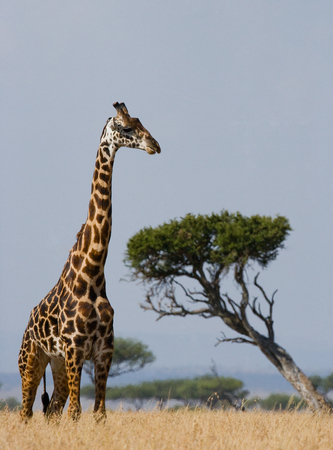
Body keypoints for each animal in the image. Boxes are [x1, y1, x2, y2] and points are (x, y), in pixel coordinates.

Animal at [18, 101, 161, 418]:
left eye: (141, 122)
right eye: (126, 128)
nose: (155, 145)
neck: (93, 272)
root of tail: (28, 325)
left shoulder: (104, 351)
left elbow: (99, 414)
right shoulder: (75, 350)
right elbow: (76, 412)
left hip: (56, 364)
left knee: (51, 410)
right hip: (31, 361)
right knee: (26, 412)